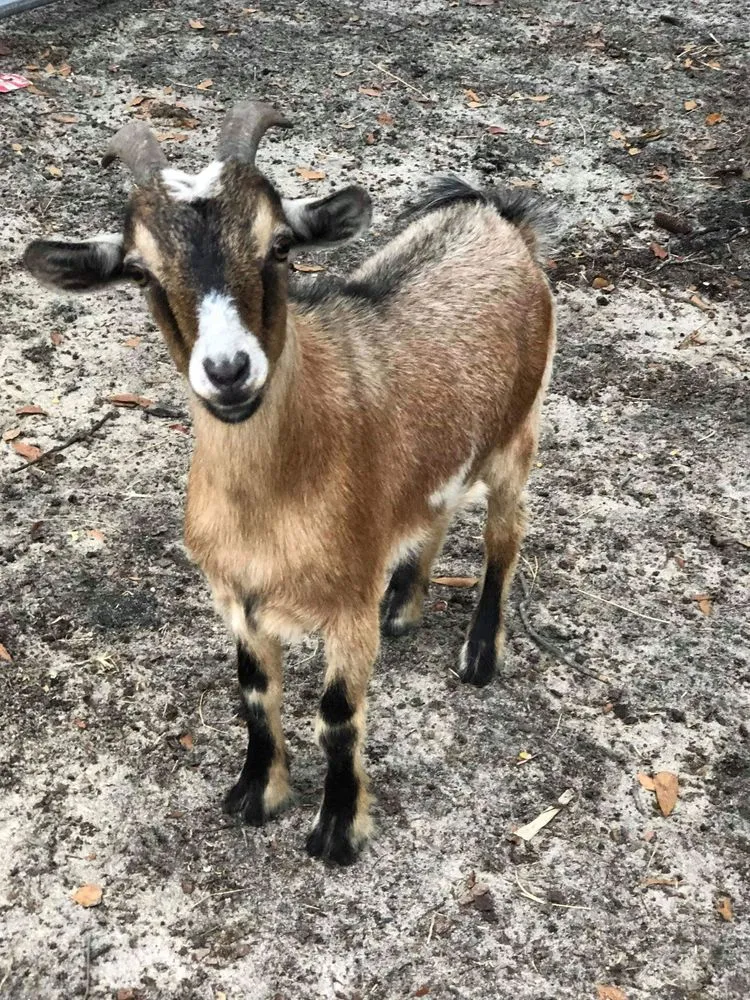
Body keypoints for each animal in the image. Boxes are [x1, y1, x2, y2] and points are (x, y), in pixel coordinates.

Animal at [24, 101, 556, 865]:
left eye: (278, 246)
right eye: (141, 272)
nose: (228, 371)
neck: (270, 503)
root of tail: (497, 215)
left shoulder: (345, 603)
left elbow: (337, 714)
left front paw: (337, 829)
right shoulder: (236, 598)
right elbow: (254, 693)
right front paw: (256, 794)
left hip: (519, 433)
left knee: (503, 541)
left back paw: (481, 655)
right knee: (437, 508)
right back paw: (404, 606)